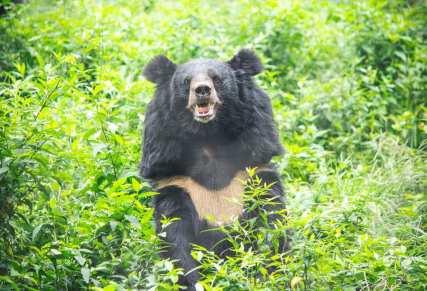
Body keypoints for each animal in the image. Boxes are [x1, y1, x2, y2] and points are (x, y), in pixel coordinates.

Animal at [141, 49, 288, 290]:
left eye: (216, 79)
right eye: (187, 81)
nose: (202, 90)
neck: (208, 135)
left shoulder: (255, 160)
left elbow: (271, 220)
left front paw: (266, 274)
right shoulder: (172, 172)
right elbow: (175, 237)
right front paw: (195, 281)